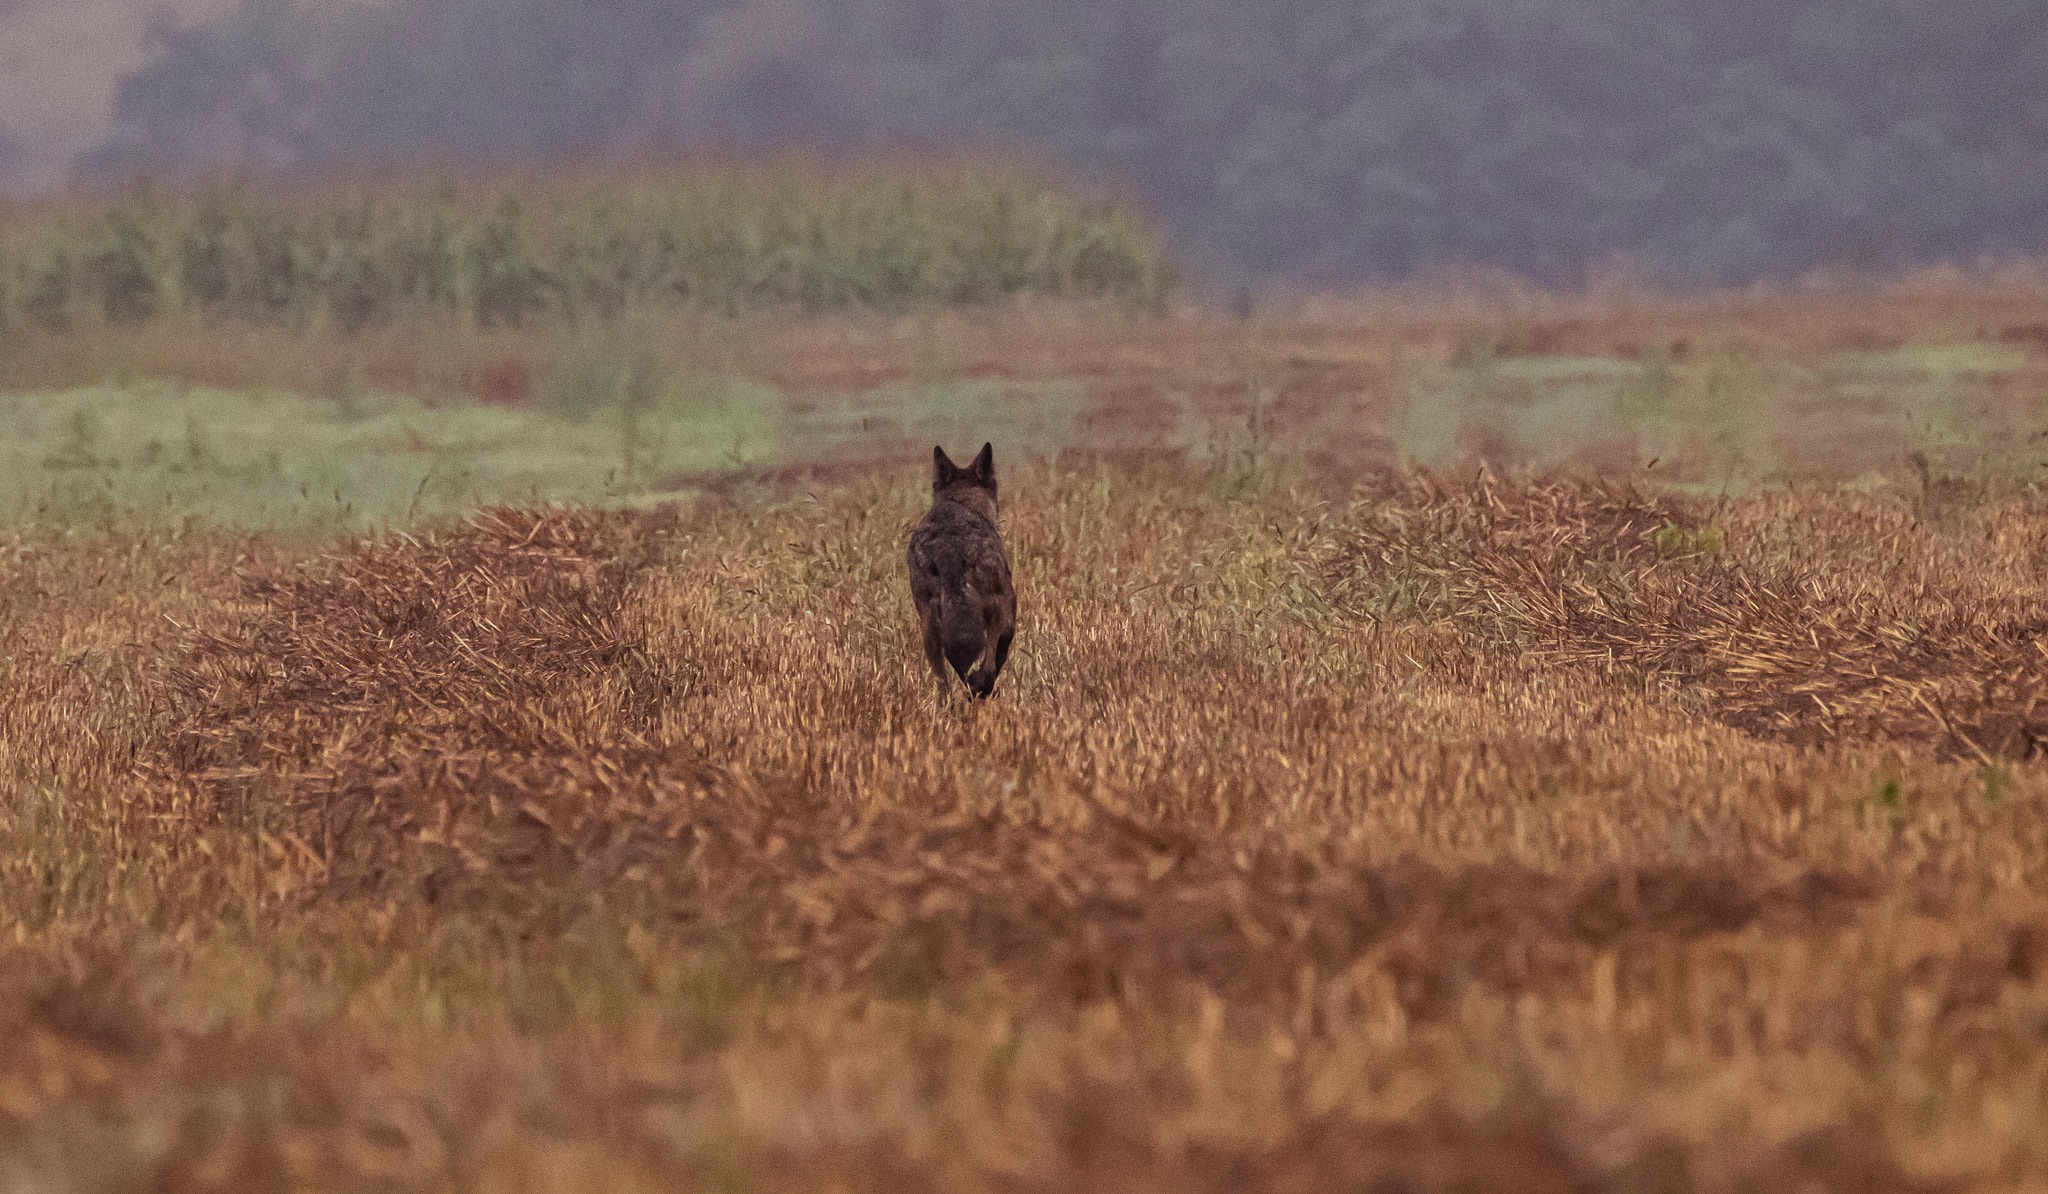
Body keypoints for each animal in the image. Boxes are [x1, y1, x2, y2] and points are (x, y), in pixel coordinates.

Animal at [905, 442, 1015, 700]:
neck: (963, 502)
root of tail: (949, 548)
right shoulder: (1009, 614)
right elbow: (998, 657)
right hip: (996, 609)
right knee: (987, 666)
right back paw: (980, 690)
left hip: (929, 628)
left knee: (944, 688)